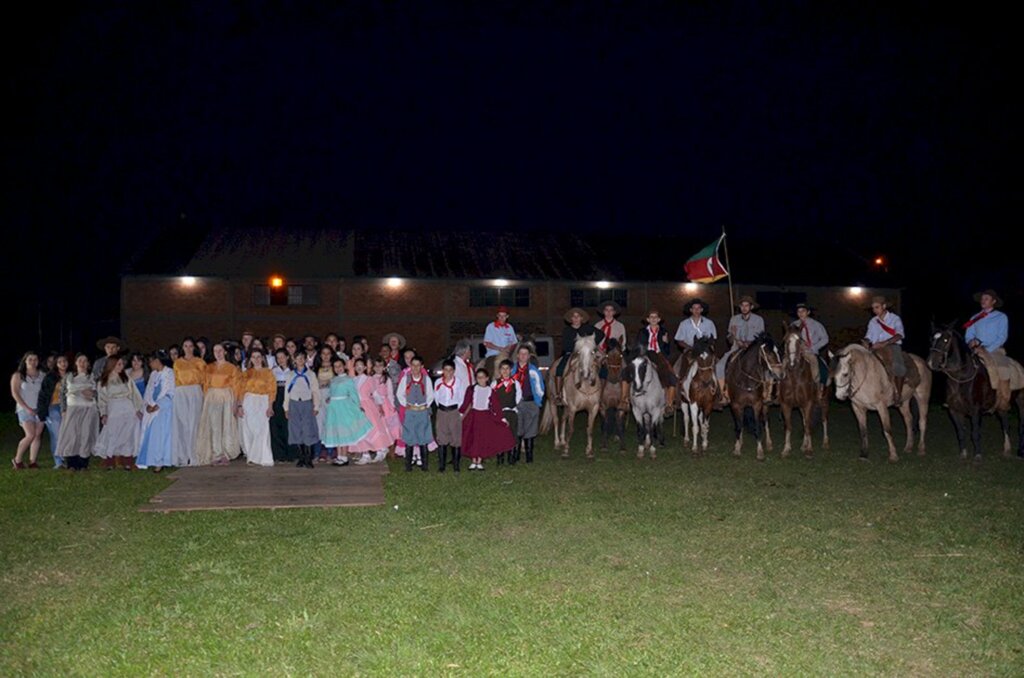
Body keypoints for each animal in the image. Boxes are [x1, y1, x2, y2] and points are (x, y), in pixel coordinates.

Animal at [720, 333, 782, 462]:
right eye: (768, 353)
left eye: (778, 352)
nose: (781, 373)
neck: (745, 379)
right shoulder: (736, 405)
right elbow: (738, 426)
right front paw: (737, 448)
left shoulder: (757, 404)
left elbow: (758, 427)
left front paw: (760, 452)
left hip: (765, 405)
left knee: (766, 421)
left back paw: (769, 443)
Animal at [774, 327, 831, 458]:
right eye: (786, 341)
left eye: (800, 341)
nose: (792, 363)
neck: (795, 378)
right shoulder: (786, 405)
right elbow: (789, 426)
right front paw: (786, 449)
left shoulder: (808, 403)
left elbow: (808, 426)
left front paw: (809, 450)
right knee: (805, 421)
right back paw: (804, 445)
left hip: (824, 401)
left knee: (824, 420)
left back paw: (825, 443)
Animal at [929, 323, 1024, 462]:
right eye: (932, 339)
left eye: (946, 340)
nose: (931, 363)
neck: (961, 378)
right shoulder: (954, 410)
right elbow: (960, 432)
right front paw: (963, 454)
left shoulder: (975, 411)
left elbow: (975, 433)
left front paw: (978, 455)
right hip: (1002, 405)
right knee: (1005, 424)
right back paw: (1007, 450)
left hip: (1021, 401)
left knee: (1021, 424)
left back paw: (1020, 452)